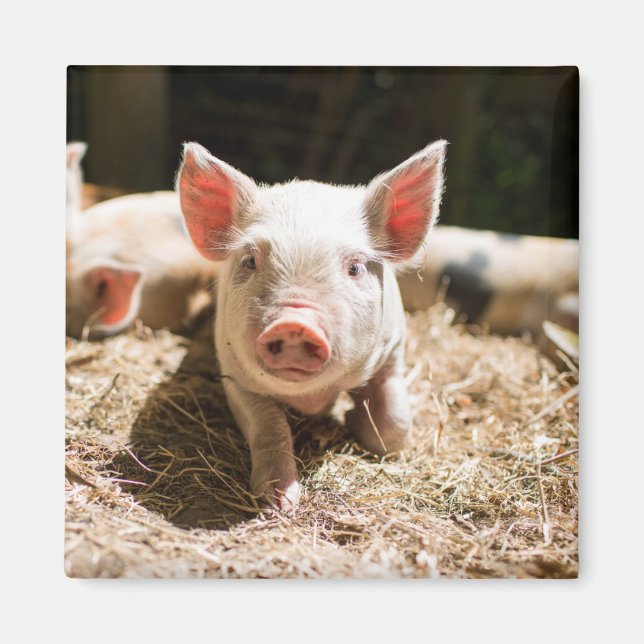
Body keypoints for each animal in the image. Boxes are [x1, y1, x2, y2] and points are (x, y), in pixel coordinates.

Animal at [176, 140, 447, 510]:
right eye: (250, 261)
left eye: (355, 267)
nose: (294, 323)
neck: (311, 398)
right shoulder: (233, 374)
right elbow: (270, 426)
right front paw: (279, 503)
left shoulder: (393, 351)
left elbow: (394, 427)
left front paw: (355, 422)